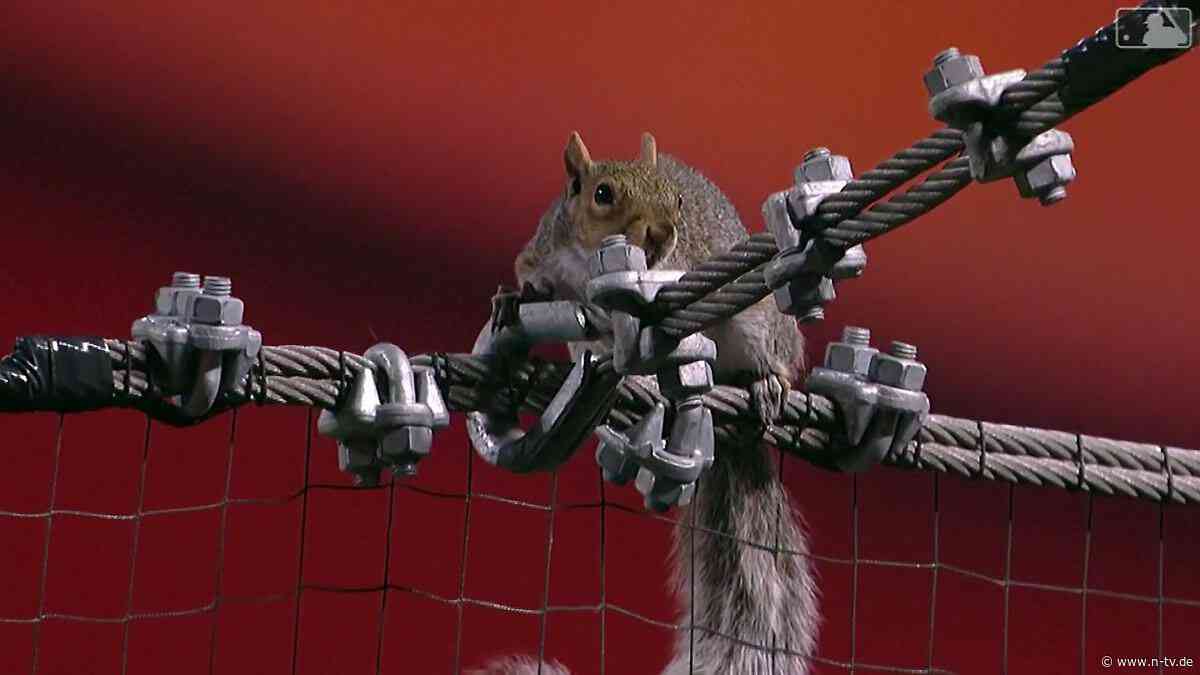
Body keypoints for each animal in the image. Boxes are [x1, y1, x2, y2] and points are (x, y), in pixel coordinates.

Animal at [471, 132, 818, 675]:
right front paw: (513, 298)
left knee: (770, 350)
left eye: (676, 200)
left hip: (760, 322)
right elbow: (532, 278)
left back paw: (766, 382)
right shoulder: (545, 252)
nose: (660, 235)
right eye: (602, 194)